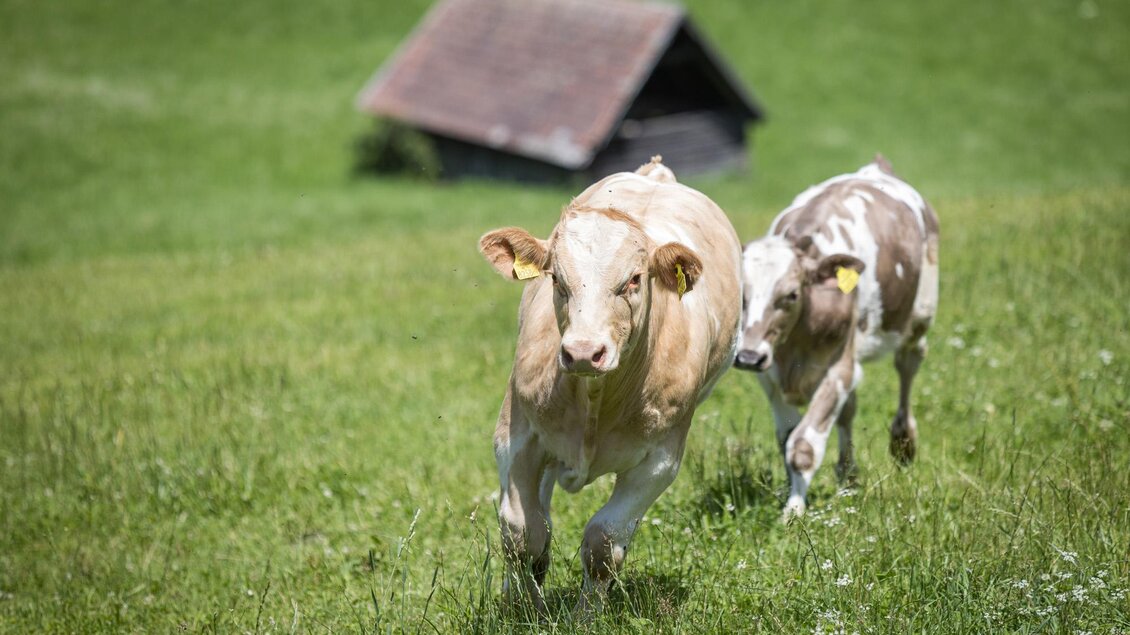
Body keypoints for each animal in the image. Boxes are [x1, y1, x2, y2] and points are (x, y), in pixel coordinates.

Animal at [478, 157, 741, 617]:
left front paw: (586, 616)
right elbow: (522, 532)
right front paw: (526, 608)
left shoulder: (659, 461)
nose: (584, 352)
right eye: (556, 279)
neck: (595, 399)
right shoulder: (516, 434)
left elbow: (602, 543)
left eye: (634, 279)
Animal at [734, 155, 939, 519]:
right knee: (849, 412)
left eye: (791, 295)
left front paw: (793, 512)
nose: (747, 357)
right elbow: (787, 438)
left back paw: (903, 443)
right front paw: (795, 496)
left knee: (908, 364)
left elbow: (803, 445)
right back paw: (848, 477)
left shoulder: (838, 369)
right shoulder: (770, 377)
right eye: (739, 293)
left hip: (919, 316)